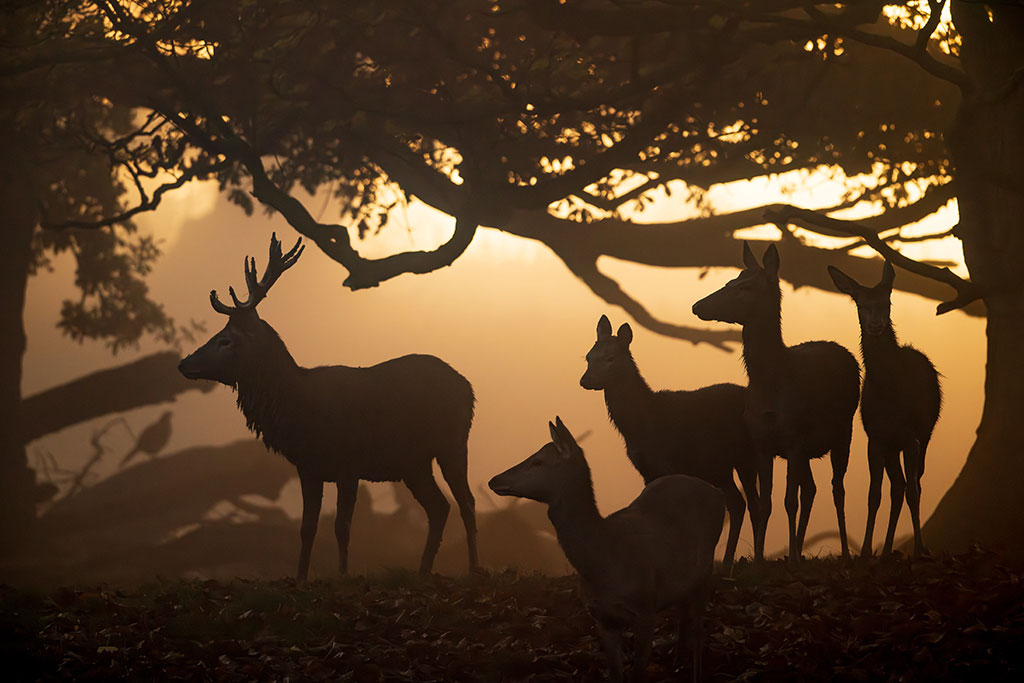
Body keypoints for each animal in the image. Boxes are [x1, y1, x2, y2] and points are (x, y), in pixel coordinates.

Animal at [178, 234, 478, 580]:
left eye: (226, 340)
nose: (184, 363)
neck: (302, 409)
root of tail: (468, 388)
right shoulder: (308, 467)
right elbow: (307, 528)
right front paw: (300, 577)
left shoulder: (349, 463)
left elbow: (342, 527)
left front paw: (343, 575)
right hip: (413, 463)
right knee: (440, 507)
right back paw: (423, 571)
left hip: (452, 443)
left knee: (466, 502)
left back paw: (474, 568)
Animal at [489, 417, 724, 683]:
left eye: (537, 461)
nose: (494, 479)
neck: (604, 559)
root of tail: (718, 493)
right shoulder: (603, 618)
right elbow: (615, 673)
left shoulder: (646, 610)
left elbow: (639, 673)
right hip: (682, 582)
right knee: (684, 616)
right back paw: (676, 663)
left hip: (707, 568)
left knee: (699, 629)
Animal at [580, 315, 760, 567]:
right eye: (588, 356)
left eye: (610, 358)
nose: (585, 380)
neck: (639, 426)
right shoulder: (646, 469)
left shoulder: (666, 462)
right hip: (719, 467)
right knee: (737, 503)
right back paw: (726, 562)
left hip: (746, 456)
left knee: (754, 504)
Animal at [692, 242, 861, 563]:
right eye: (730, 280)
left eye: (744, 286)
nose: (698, 305)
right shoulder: (762, 443)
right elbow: (766, 504)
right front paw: (759, 560)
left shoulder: (794, 437)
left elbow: (788, 501)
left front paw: (791, 560)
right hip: (808, 450)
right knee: (811, 489)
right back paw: (799, 548)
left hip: (844, 431)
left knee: (837, 489)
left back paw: (844, 553)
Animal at [828, 261, 941, 557]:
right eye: (860, 303)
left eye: (887, 300)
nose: (876, 324)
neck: (889, 396)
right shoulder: (876, 438)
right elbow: (874, 495)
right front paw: (867, 551)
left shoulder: (911, 437)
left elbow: (914, 491)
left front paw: (919, 549)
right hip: (892, 447)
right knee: (897, 486)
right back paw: (888, 549)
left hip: (926, 435)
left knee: (914, 483)